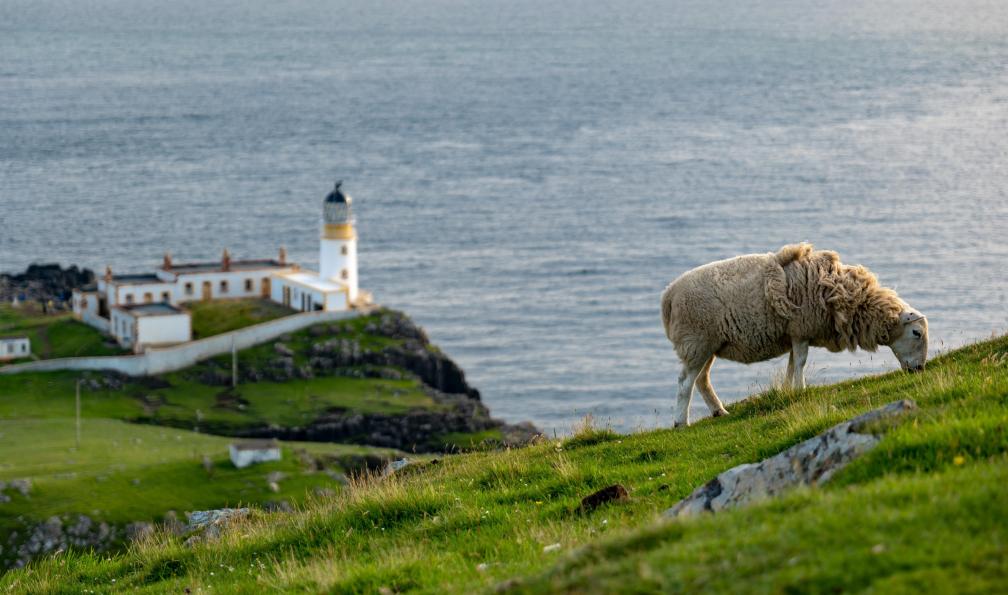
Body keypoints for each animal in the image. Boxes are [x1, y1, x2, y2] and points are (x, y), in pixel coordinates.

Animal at [660, 243, 928, 427]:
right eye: (916, 333)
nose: (919, 370)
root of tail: (669, 294)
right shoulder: (801, 329)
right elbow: (800, 362)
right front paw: (801, 389)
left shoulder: (795, 334)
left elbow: (791, 364)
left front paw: (789, 389)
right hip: (696, 341)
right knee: (685, 381)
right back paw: (681, 422)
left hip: (709, 345)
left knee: (702, 380)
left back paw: (719, 411)